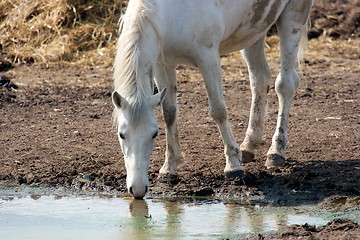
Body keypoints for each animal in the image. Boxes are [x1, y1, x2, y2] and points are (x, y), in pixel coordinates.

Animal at [112, 0, 312, 199]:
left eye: (154, 134)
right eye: (121, 134)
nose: (137, 190)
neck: (172, 12)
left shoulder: (208, 58)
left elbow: (218, 111)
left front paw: (233, 166)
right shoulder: (164, 63)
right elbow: (169, 113)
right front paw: (169, 168)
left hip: (292, 18)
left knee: (285, 85)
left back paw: (276, 152)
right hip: (255, 30)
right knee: (259, 80)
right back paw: (248, 146)